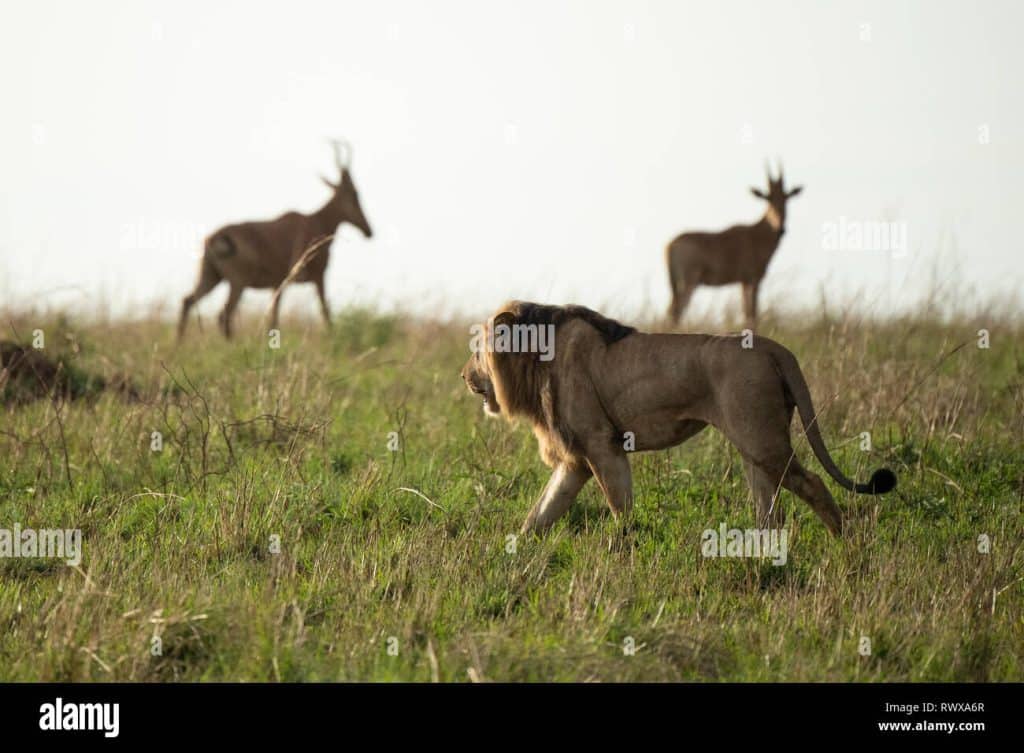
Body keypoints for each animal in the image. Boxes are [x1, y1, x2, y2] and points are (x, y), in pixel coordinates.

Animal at [178, 141, 374, 342]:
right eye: (354, 193)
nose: (369, 231)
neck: (315, 221)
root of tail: (215, 238)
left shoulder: (277, 285)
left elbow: (273, 319)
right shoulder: (318, 277)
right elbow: (325, 312)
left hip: (212, 277)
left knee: (188, 301)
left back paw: (179, 344)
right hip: (237, 282)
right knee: (223, 315)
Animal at [460, 301, 892, 536]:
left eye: (478, 350)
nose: (463, 376)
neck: (534, 360)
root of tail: (774, 346)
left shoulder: (603, 445)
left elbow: (620, 509)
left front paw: (625, 548)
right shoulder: (576, 460)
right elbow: (541, 513)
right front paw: (515, 553)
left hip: (763, 442)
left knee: (814, 484)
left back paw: (844, 544)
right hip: (754, 447)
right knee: (770, 510)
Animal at [667, 161, 802, 329]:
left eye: (786, 198)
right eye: (768, 199)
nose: (781, 229)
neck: (756, 233)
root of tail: (670, 245)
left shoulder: (744, 283)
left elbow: (748, 313)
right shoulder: (751, 280)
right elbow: (752, 313)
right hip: (689, 282)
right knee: (677, 311)